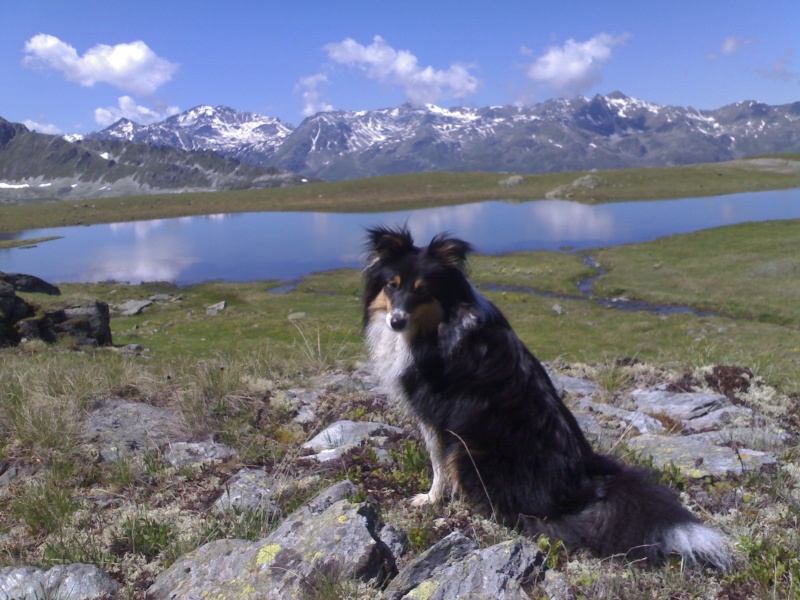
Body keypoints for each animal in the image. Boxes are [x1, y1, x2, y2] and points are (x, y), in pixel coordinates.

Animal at [362, 224, 732, 568]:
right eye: (392, 285)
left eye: (423, 291)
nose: (396, 322)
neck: (438, 323)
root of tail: (586, 487)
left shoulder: (434, 415)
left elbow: (437, 462)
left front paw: (430, 500)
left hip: (469, 454)